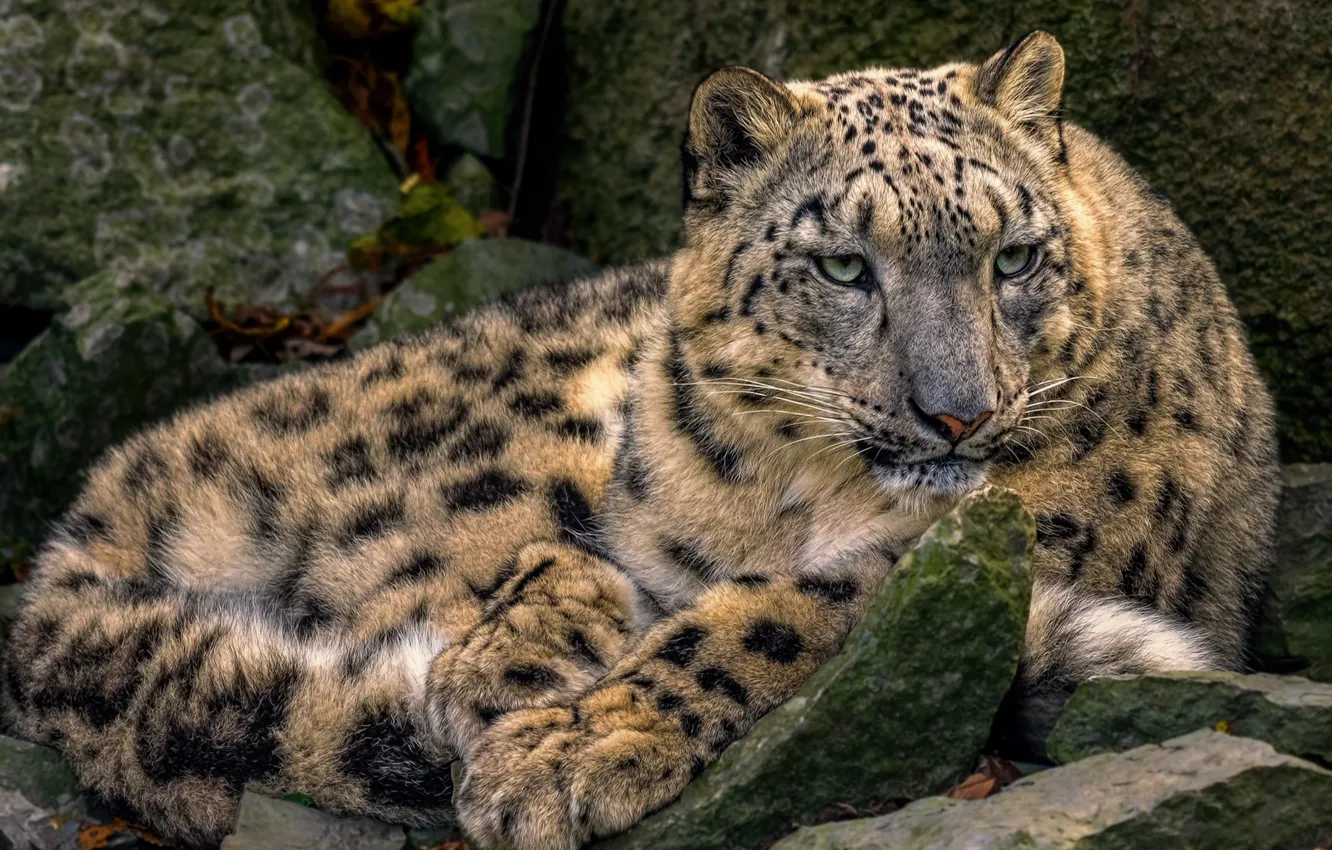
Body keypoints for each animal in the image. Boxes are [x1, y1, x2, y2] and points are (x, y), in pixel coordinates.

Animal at [1, 30, 1278, 850]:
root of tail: (119, 483)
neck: (800, 494)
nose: (955, 411)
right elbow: (604, 573)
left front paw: (568, 748)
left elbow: (773, 611)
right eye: (843, 265)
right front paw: (516, 672)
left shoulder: (1028, 528)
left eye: (1013, 257)